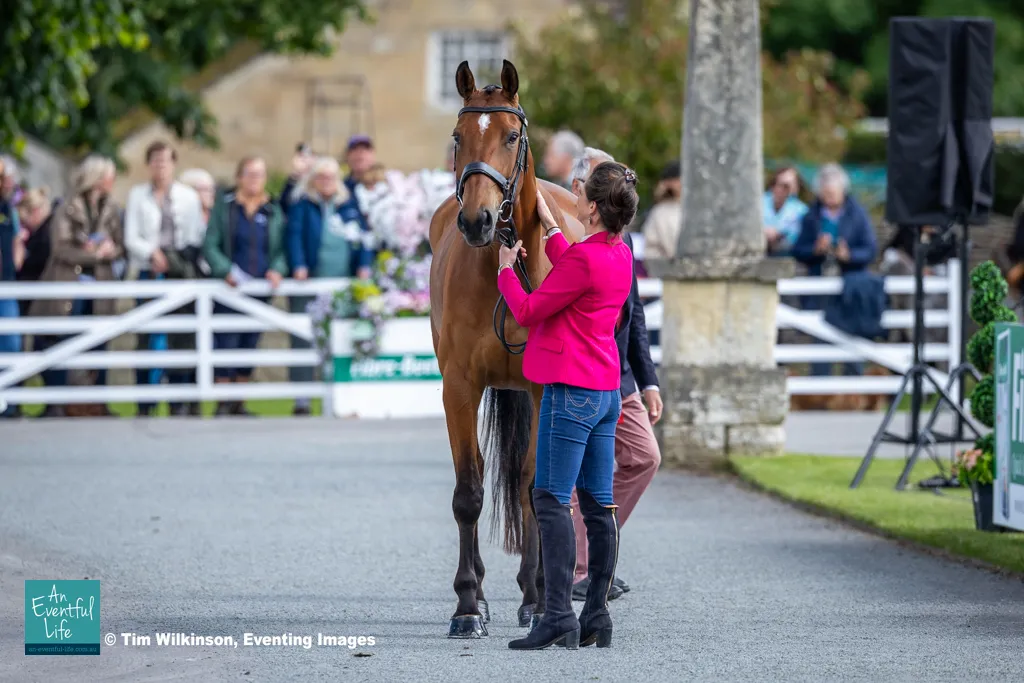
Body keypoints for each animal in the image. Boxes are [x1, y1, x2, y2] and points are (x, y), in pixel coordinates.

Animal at [429, 59, 586, 638]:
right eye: (458, 136)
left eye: (512, 136)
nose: (476, 221)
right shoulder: (458, 388)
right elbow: (468, 492)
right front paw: (467, 606)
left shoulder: (543, 390)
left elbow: (535, 487)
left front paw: (539, 601)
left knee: (525, 485)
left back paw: (532, 593)